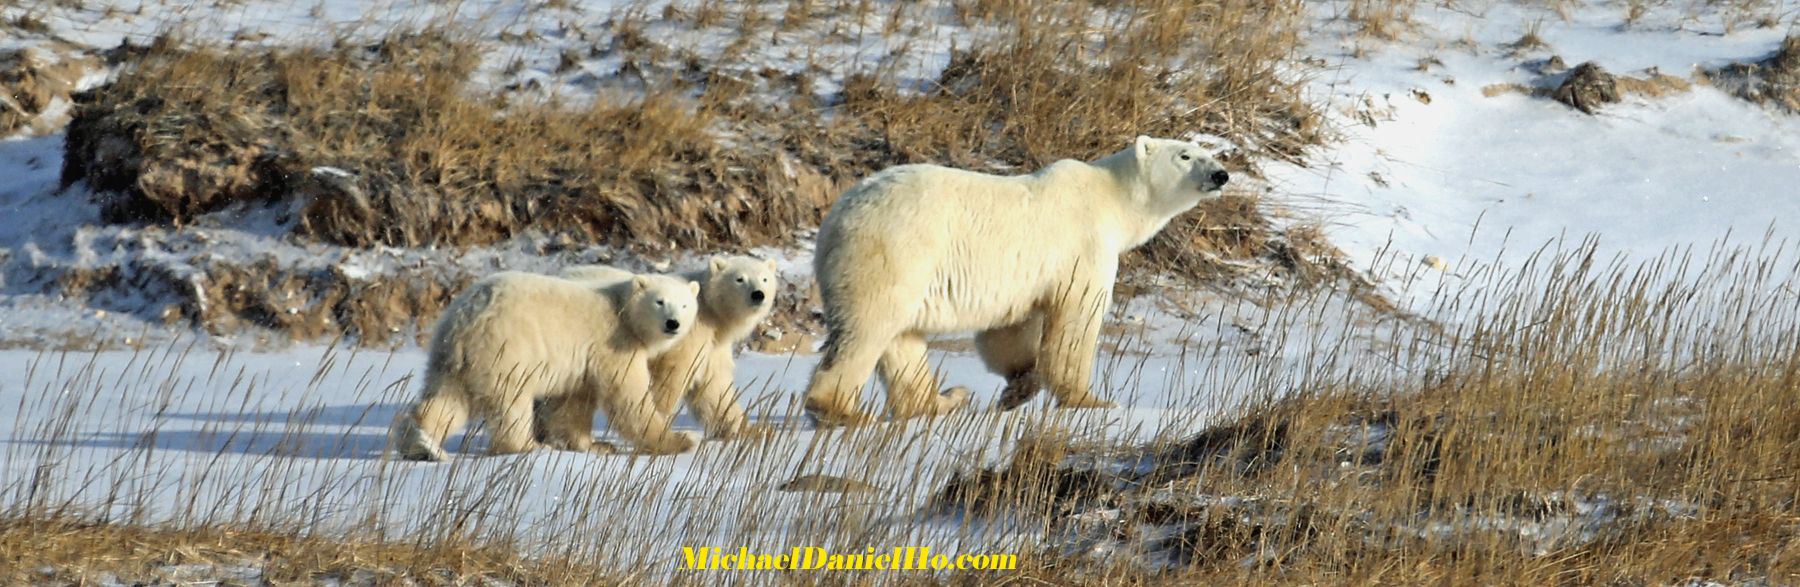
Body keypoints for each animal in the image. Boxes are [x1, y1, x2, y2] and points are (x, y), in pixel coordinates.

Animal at [810, 135, 1231, 424]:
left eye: (1210, 153)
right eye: (1185, 155)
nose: (1221, 174)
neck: (1110, 198)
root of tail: (835, 220)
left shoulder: (1024, 278)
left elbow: (1010, 330)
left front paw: (1018, 388)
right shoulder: (1082, 247)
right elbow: (1077, 319)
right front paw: (1090, 401)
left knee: (903, 341)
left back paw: (944, 399)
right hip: (894, 253)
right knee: (869, 328)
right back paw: (841, 410)